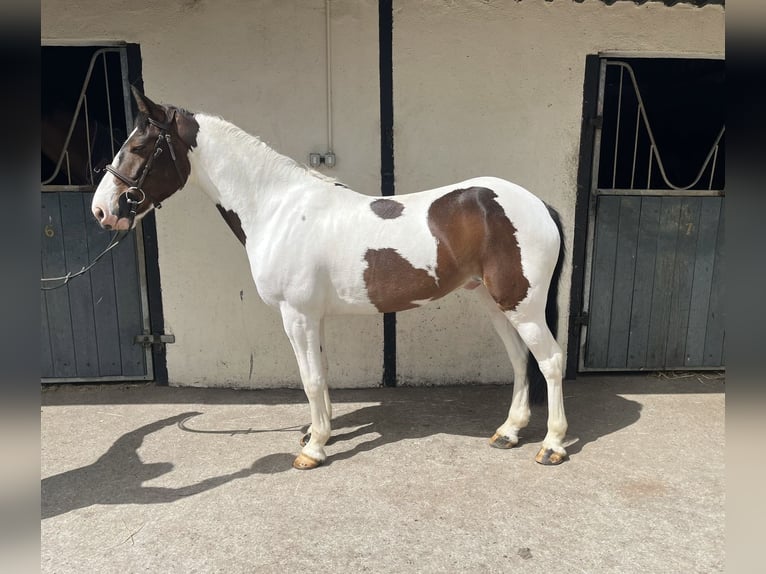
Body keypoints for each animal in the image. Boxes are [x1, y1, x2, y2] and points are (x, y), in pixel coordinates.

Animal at [92, 88, 568, 470]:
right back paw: (508, 432)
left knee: (550, 360)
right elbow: (320, 373)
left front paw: (313, 449)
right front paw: (318, 431)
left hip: (522, 306)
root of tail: (538, 204)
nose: (102, 210)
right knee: (520, 360)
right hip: (496, 303)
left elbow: (311, 379)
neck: (277, 208)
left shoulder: (296, 315)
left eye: (139, 146)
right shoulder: (311, 318)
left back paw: (552, 445)